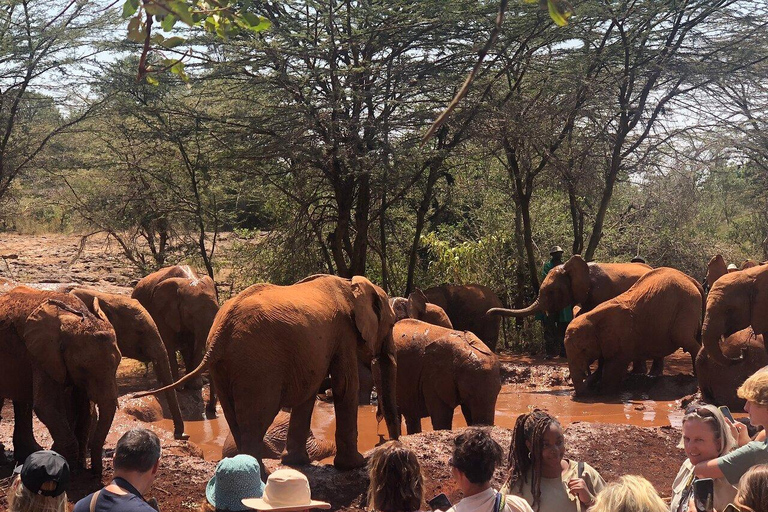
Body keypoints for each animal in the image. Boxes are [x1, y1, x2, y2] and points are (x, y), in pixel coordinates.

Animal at [0, 286, 120, 470]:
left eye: (118, 364)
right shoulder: (43, 355)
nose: (96, 472)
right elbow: (47, 405)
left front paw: (78, 466)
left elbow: (84, 408)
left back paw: (27, 453)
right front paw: (67, 465)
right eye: (83, 368)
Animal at [130, 264, 218, 412]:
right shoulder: (160, 310)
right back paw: (162, 384)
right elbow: (168, 345)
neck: (189, 280)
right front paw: (178, 388)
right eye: (190, 314)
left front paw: (195, 386)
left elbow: (193, 345)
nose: (209, 407)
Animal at [137, 276, 400, 472]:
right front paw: (356, 465)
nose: (390, 439)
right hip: (258, 363)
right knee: (257, 416)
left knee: (235, 415)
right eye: (391, 324)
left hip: (226, 366)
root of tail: (221, 332)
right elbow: (345, 385)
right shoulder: (344, 333)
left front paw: (296, 463)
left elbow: (310, 391)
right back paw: (258, 473)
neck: (351, 285)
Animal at [560, 268, 704, 396]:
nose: (577, 394)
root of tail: (693, 281)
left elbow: (614, 365)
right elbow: (603, 364)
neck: (594, 316)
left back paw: (697, 377)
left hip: (686, 307)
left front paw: (604, 394)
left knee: (685, 339)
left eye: (584, 350)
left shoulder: (621, 335)